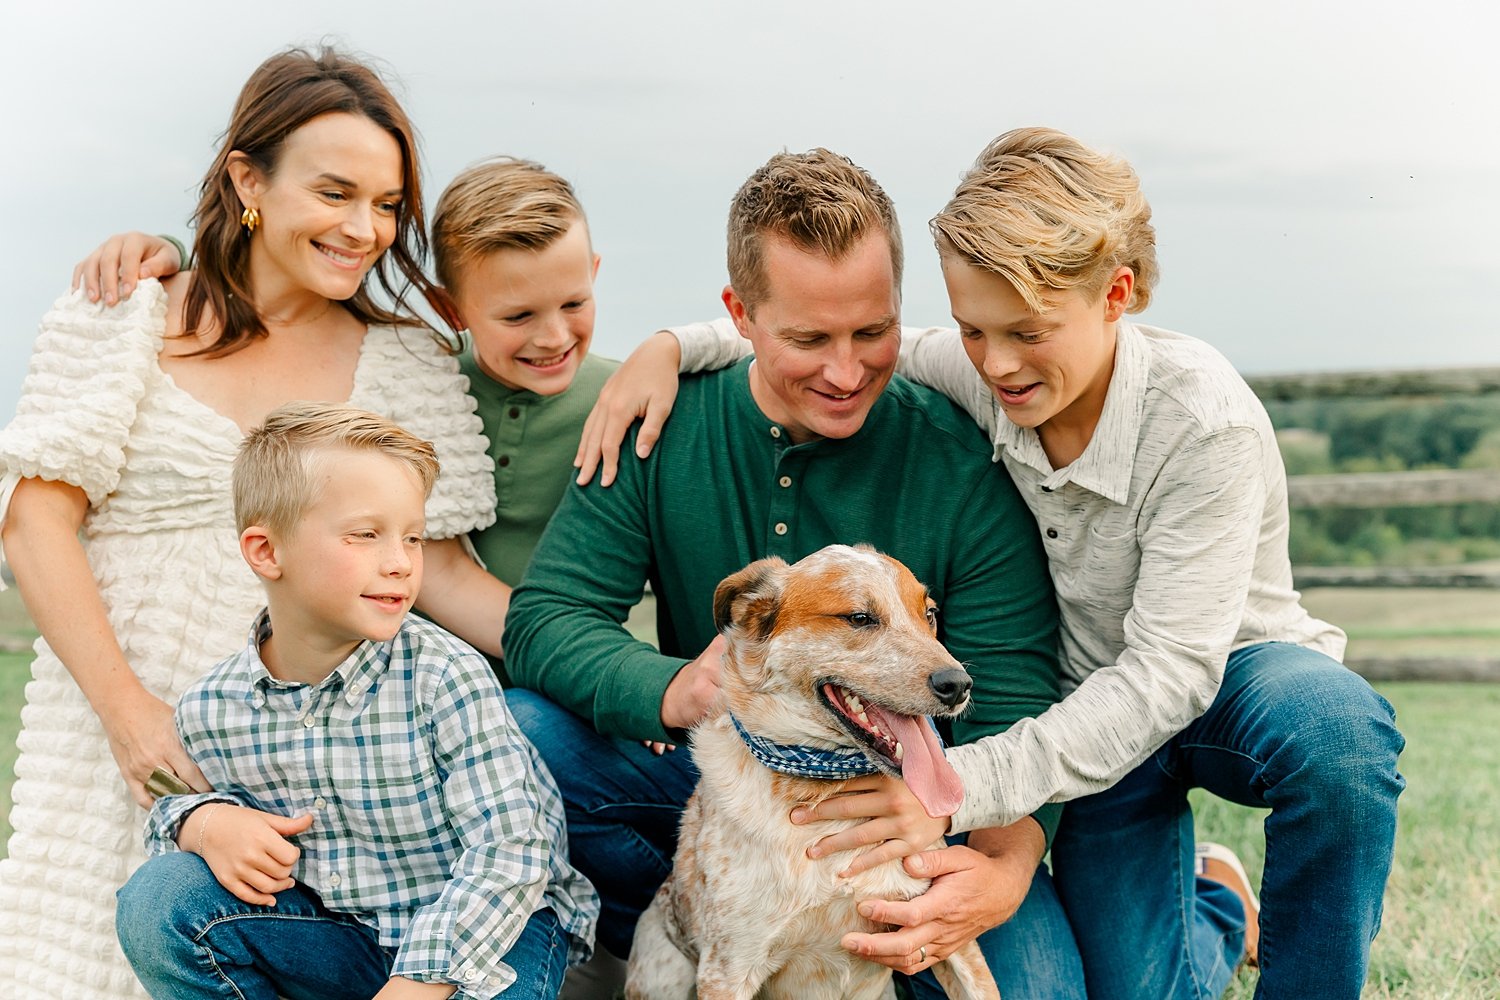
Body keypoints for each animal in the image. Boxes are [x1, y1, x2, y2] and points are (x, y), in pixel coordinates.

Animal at [627, 548, 1002, 1000]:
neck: (819, 786)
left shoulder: (945, 929)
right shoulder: (727, 969)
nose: (958, 684)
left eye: (929, 614)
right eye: (859, 618)